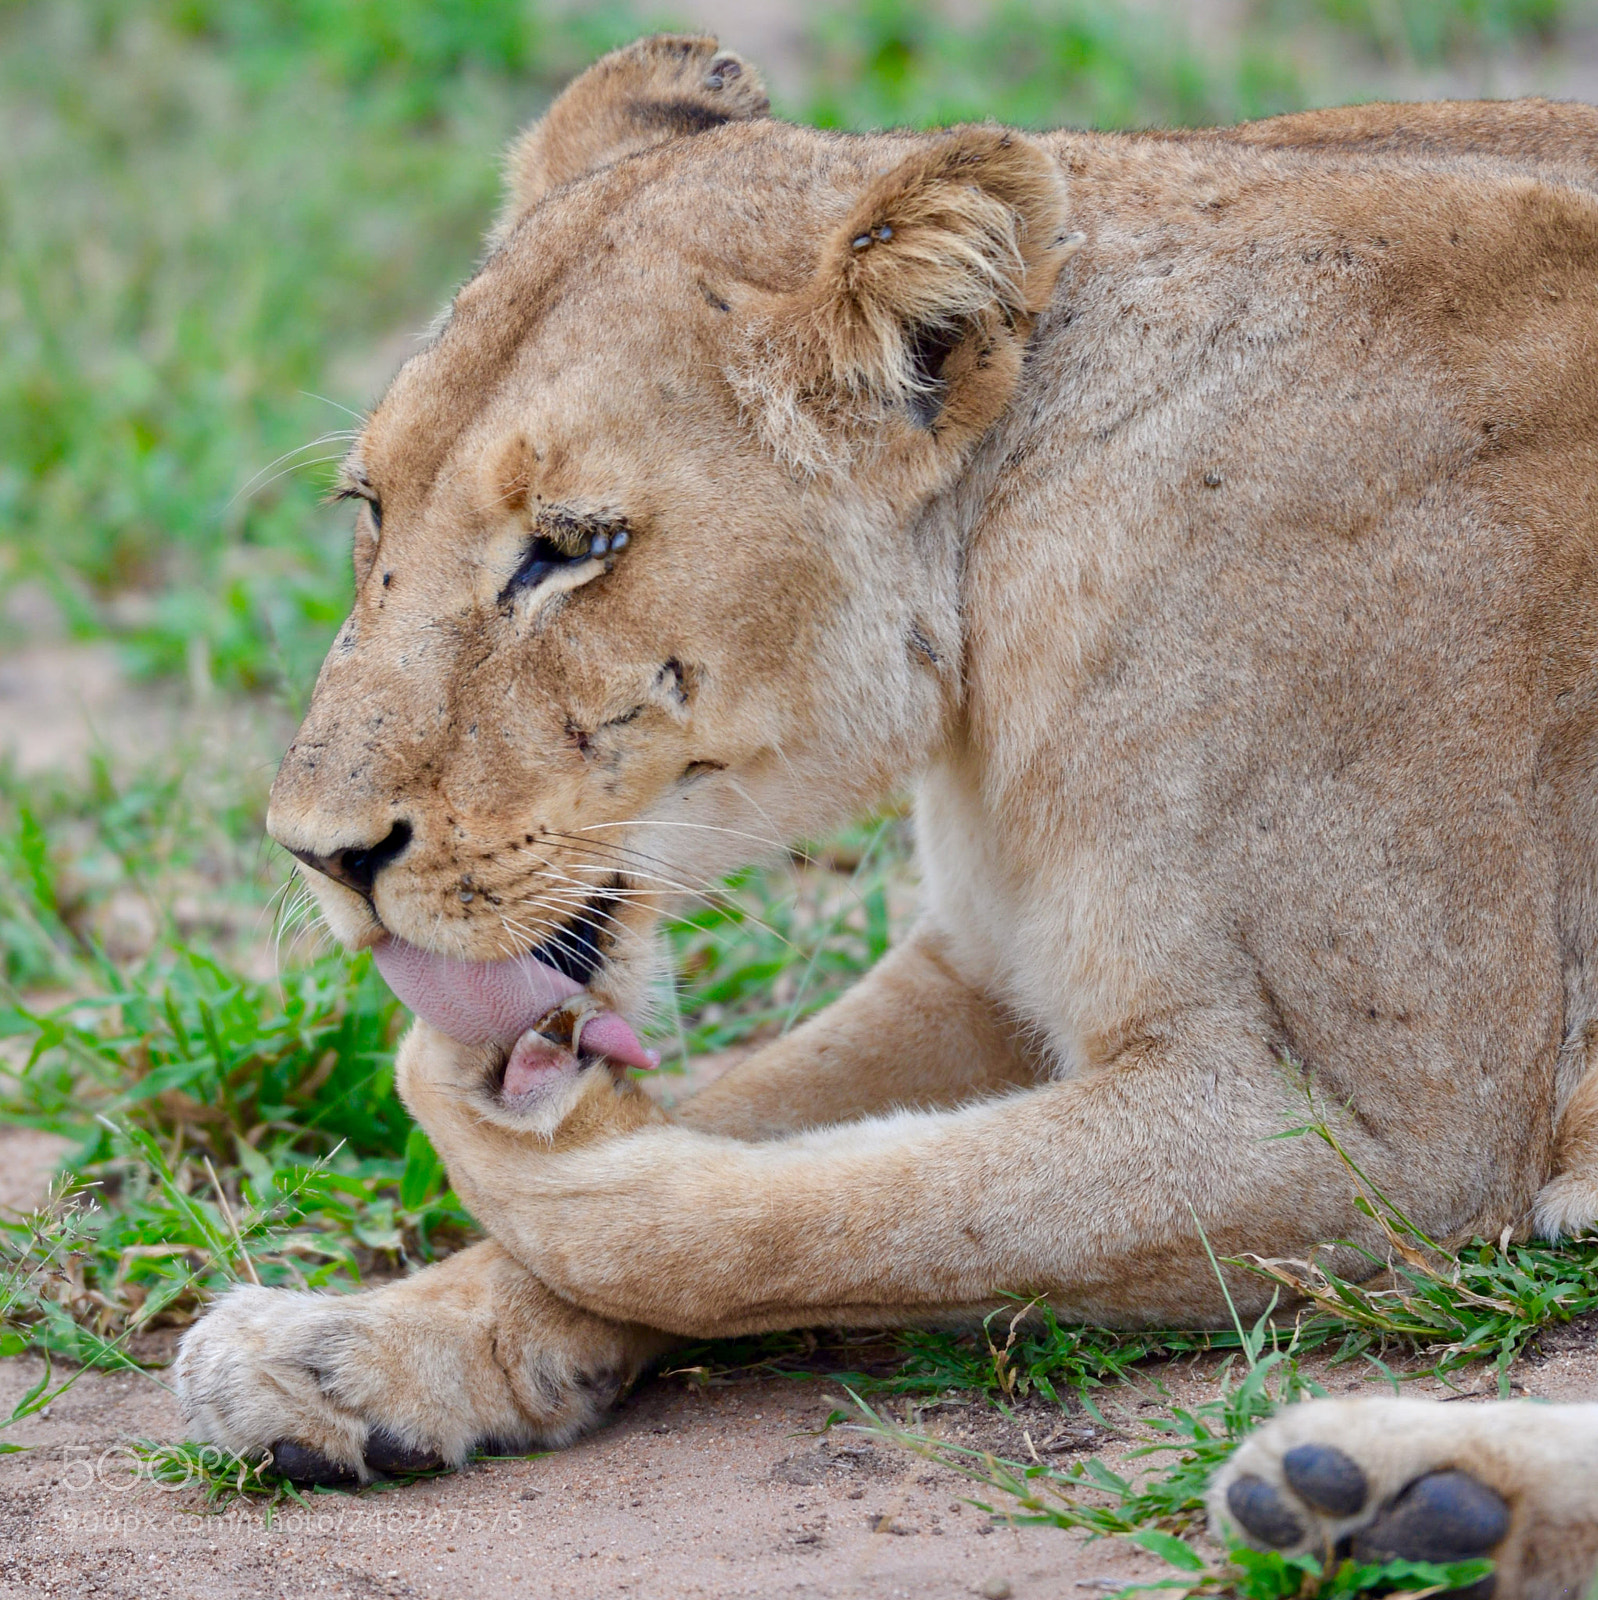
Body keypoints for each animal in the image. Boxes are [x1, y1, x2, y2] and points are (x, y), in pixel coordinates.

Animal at [175, 35, 1598, 1588]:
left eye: (570, 548)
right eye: (369, 506)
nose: (319, 853)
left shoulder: (1375, 1127)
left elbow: (801, 1217)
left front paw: (495, 1125)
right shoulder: (975, 962)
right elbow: (768, 1129)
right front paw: (351, 1349)